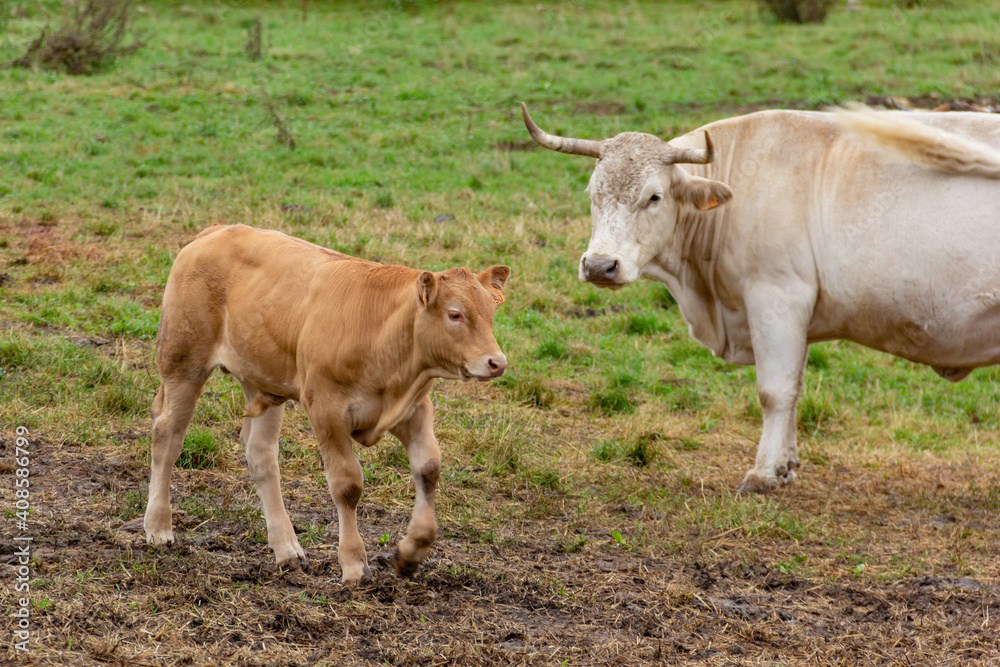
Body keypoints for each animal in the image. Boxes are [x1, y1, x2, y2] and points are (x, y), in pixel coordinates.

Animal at [143, 224, 508, 584]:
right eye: (455, 314)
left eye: (492, 314)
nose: (497, 362)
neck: (383, 333)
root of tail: (216, 230)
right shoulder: (327, 409)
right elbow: (347, 484)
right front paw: (354, 564)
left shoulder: (414, 409)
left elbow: (428, 468)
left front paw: (412, 550)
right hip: (183, 362)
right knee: (167, 435)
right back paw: (159, 527)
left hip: (261, 377)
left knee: (260, 452)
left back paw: (286, 548)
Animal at [520, 103, 1000, 490]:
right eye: (592, 194)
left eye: (653, 197)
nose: (599, 266)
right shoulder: (798, 314)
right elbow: (794, 389)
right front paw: (786, 465)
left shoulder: (777, 298)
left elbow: (774, 392)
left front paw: (765, 473)